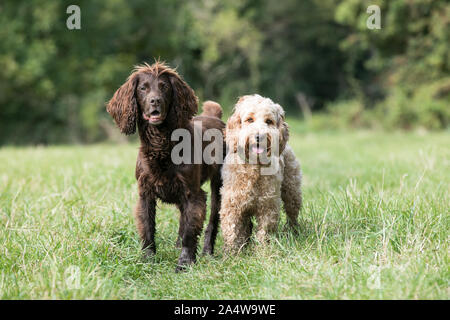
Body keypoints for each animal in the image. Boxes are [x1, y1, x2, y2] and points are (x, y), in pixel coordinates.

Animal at [106, 61, 225, 272]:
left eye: (164, 87)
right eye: (143, 88)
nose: (155, 101)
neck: (161, 144)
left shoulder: (193, 194)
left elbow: (190, 232)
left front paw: (185, 263)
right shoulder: (145, 193)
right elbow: (148, 230)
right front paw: (147, 261)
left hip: (219, 184)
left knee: (212, 220)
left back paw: (207, 252)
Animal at [219, 94, 300, 251]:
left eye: (269, 121)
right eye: (249, 119)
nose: (259, 136)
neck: (254, 166)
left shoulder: (268, 205)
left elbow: (265, 231)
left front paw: (263, 250)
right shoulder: (232, 205)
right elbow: (232, 231)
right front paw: (232, 253)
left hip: (292, 191)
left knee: (292, 214)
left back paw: (292, 232)